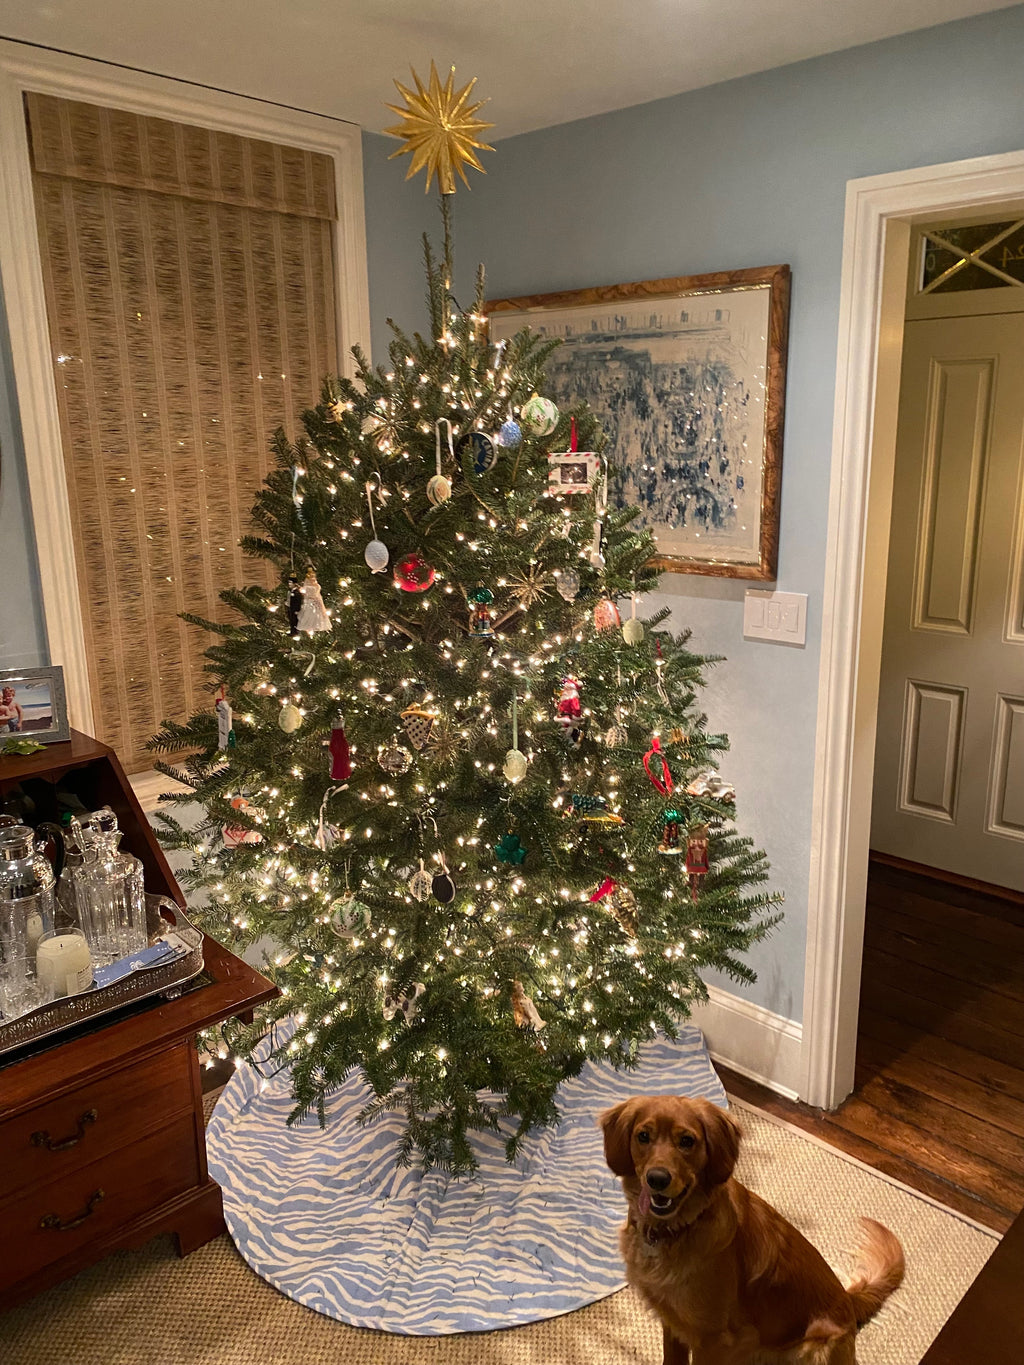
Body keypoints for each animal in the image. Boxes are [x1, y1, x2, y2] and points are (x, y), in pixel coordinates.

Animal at [600, 1097, 906, 1365]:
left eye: (686, 1141)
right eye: (643, 1136)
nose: (657, 1179)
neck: (675, 1230)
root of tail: (848, 1299)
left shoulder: (718, 1339)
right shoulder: (672, 1320)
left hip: (814, 1349)